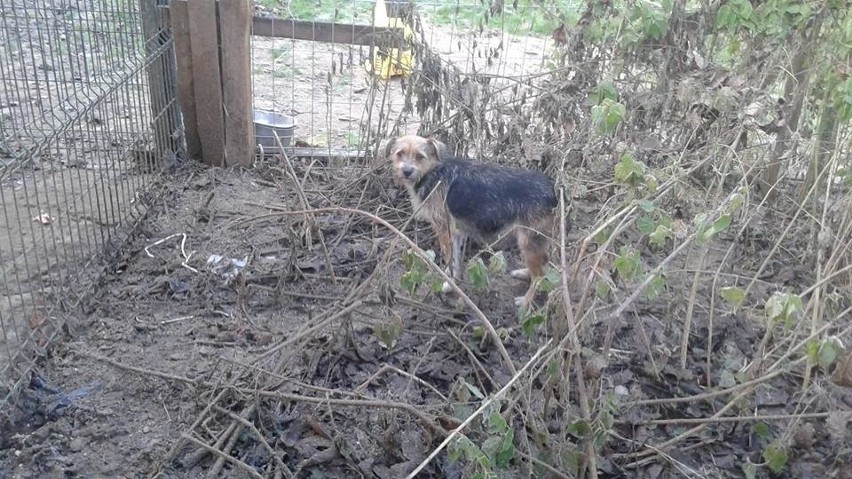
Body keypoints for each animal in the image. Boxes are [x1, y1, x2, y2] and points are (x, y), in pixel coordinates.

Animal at [386, 134, 560, 308]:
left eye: (420, 156)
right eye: (400, 153)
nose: (406, 171)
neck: (434, 172)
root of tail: (554, 190)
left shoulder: (445, 231)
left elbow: (450, 260)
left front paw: (449, 283)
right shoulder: (456, 234)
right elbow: (456, 261)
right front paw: (453, 282)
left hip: (529, 241)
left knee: (540, 275)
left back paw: (526, 300)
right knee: (544, 264)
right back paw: (524, 273)